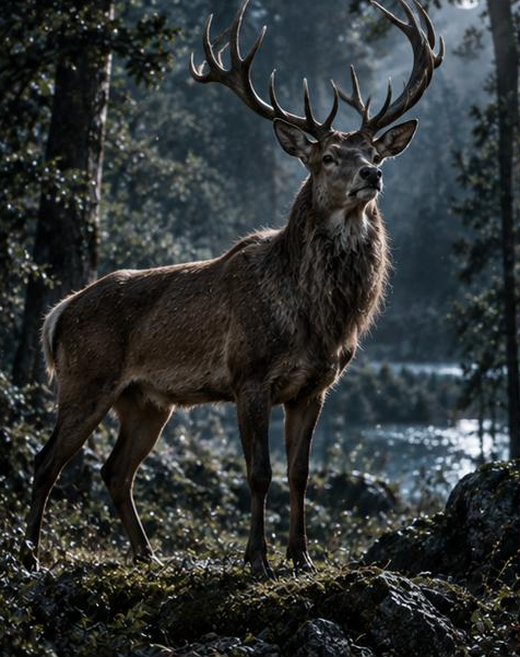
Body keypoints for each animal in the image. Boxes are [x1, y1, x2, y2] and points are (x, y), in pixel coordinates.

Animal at [21, 0, 443, 578]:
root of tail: (58, 315)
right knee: (46, 461)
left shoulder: (314, 387)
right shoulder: (249, 375)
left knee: (114, 470)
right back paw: (29, 557)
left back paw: (148, 554)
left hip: (145, 400)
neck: (317, 318)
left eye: (374, 150)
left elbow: (299, 474)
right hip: (86, 378)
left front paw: (302, 557)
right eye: (328, 157)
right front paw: (256, 559)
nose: (372, 174)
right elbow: (259, 472)